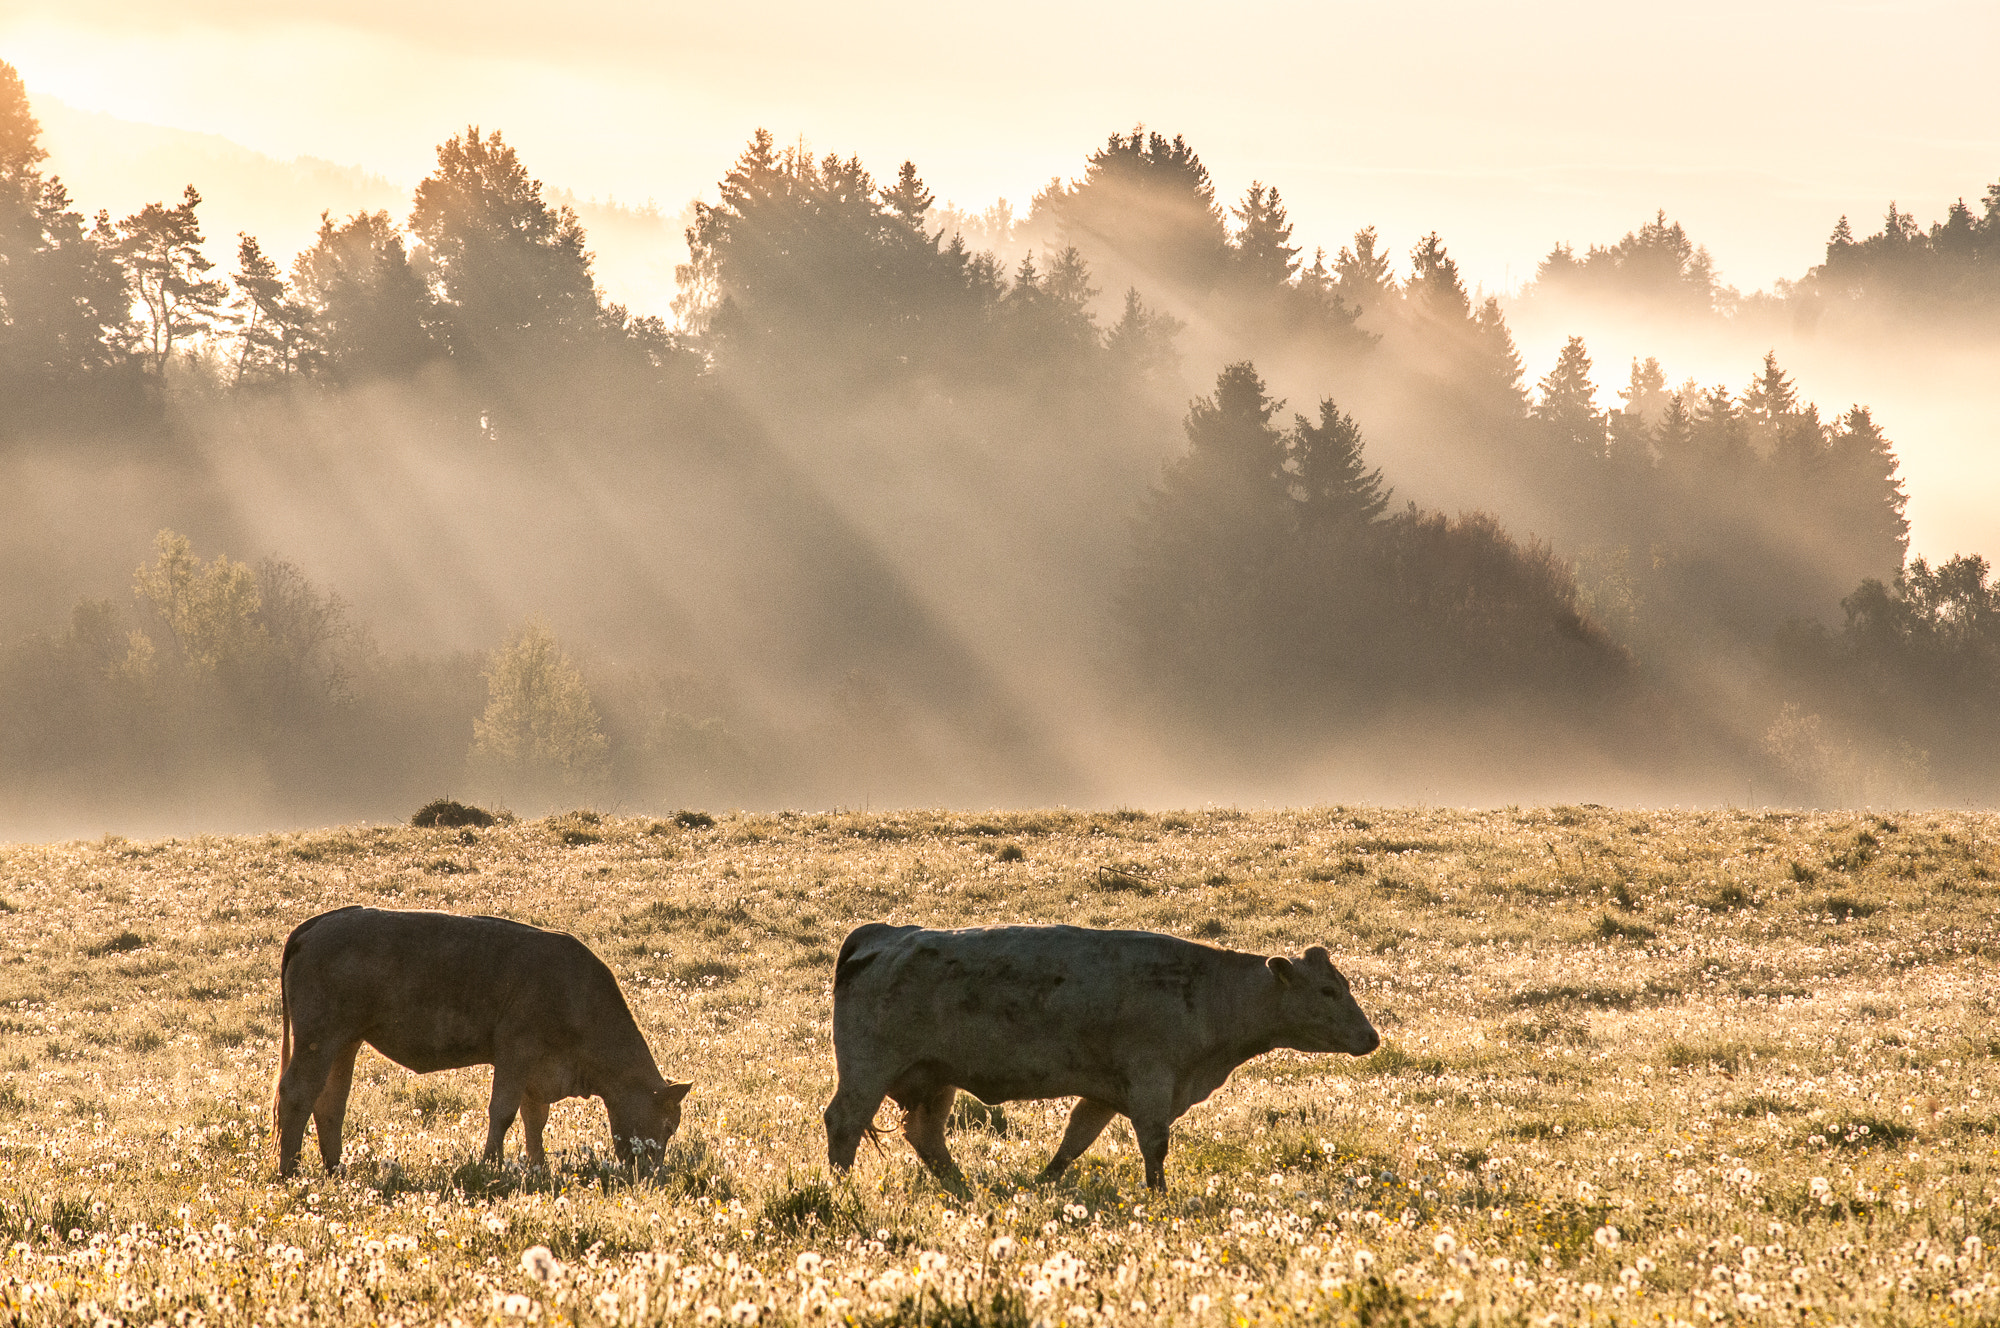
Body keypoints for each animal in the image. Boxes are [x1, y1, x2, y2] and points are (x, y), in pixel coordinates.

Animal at [274, 908, 692, 1176]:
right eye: (667, 1125)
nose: (652, 1173)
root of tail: (317, 923)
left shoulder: (537, 1072)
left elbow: (535, 1119)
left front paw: (538, 1167)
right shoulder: (516, 1052)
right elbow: (503, 1112)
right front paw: (491, 1164)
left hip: (343, 1043)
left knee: (330, 1103)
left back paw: (335, 1169)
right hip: (317, 1040)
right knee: (296, 1095)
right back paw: (290, 1170)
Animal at [824, 924, 1376, 1192]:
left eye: (1344, 985)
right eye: (1328, 991)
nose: (1371, 1037)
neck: (1207, 991)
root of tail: (884, 935)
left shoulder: (1106, 1091)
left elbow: (1075, 1140)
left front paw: (1041, 1182)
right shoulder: (1152, 1083)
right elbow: (1154, 1146)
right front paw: (1159, 1197)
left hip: (936, 1079)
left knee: (925, 1135)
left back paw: (960, 1184)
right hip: (867, 1072)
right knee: (843, 1123)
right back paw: (839, 1185)